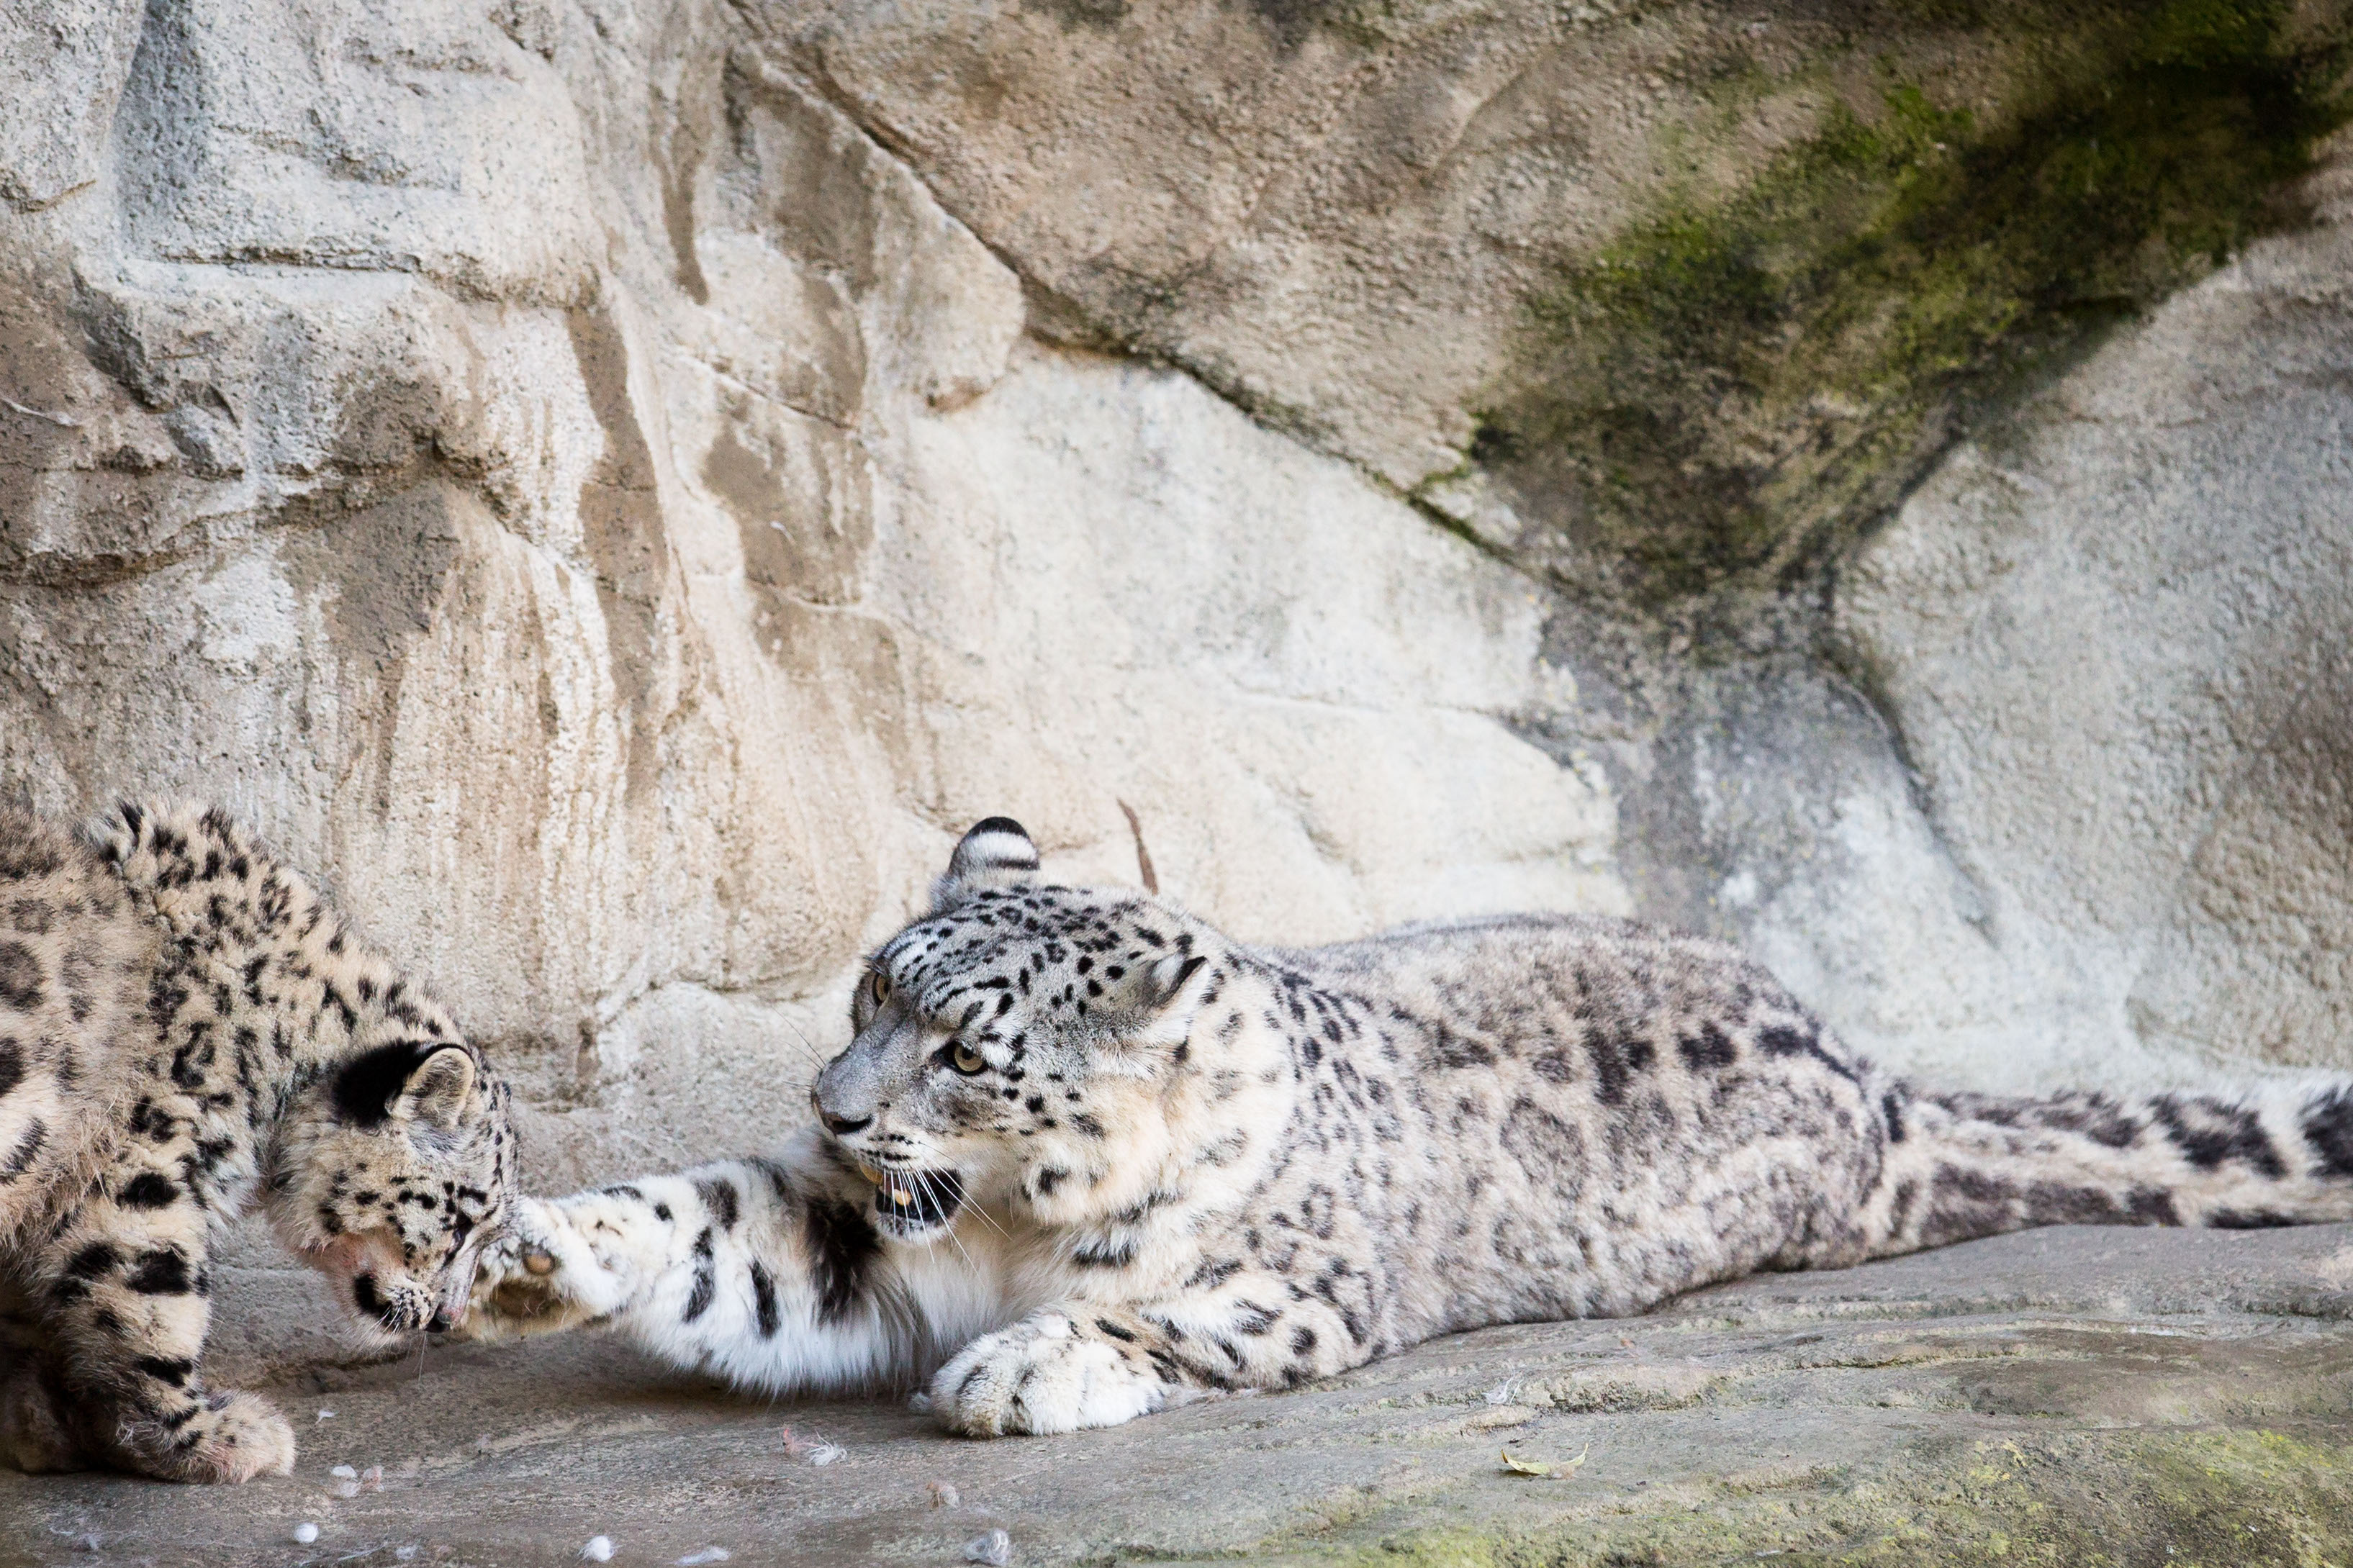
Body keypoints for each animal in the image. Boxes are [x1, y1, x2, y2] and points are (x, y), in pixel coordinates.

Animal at [0, 804, 512, 1476]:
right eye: (461, 1222)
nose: (448, 1318)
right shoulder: (140, 1165)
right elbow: (151, 1294)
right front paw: (210, 1436)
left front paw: (34, 1422)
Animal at [468, 817, 2353, 1438]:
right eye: (864, 993)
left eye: (960, 1045)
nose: (833, 1105)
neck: (999, 1224)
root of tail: (1872, 1080)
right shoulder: (854, 1238)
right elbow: (718, 1231)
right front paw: (524, 1240)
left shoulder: (1297, 1287)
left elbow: (1148, 1311)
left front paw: (1020, 1367)